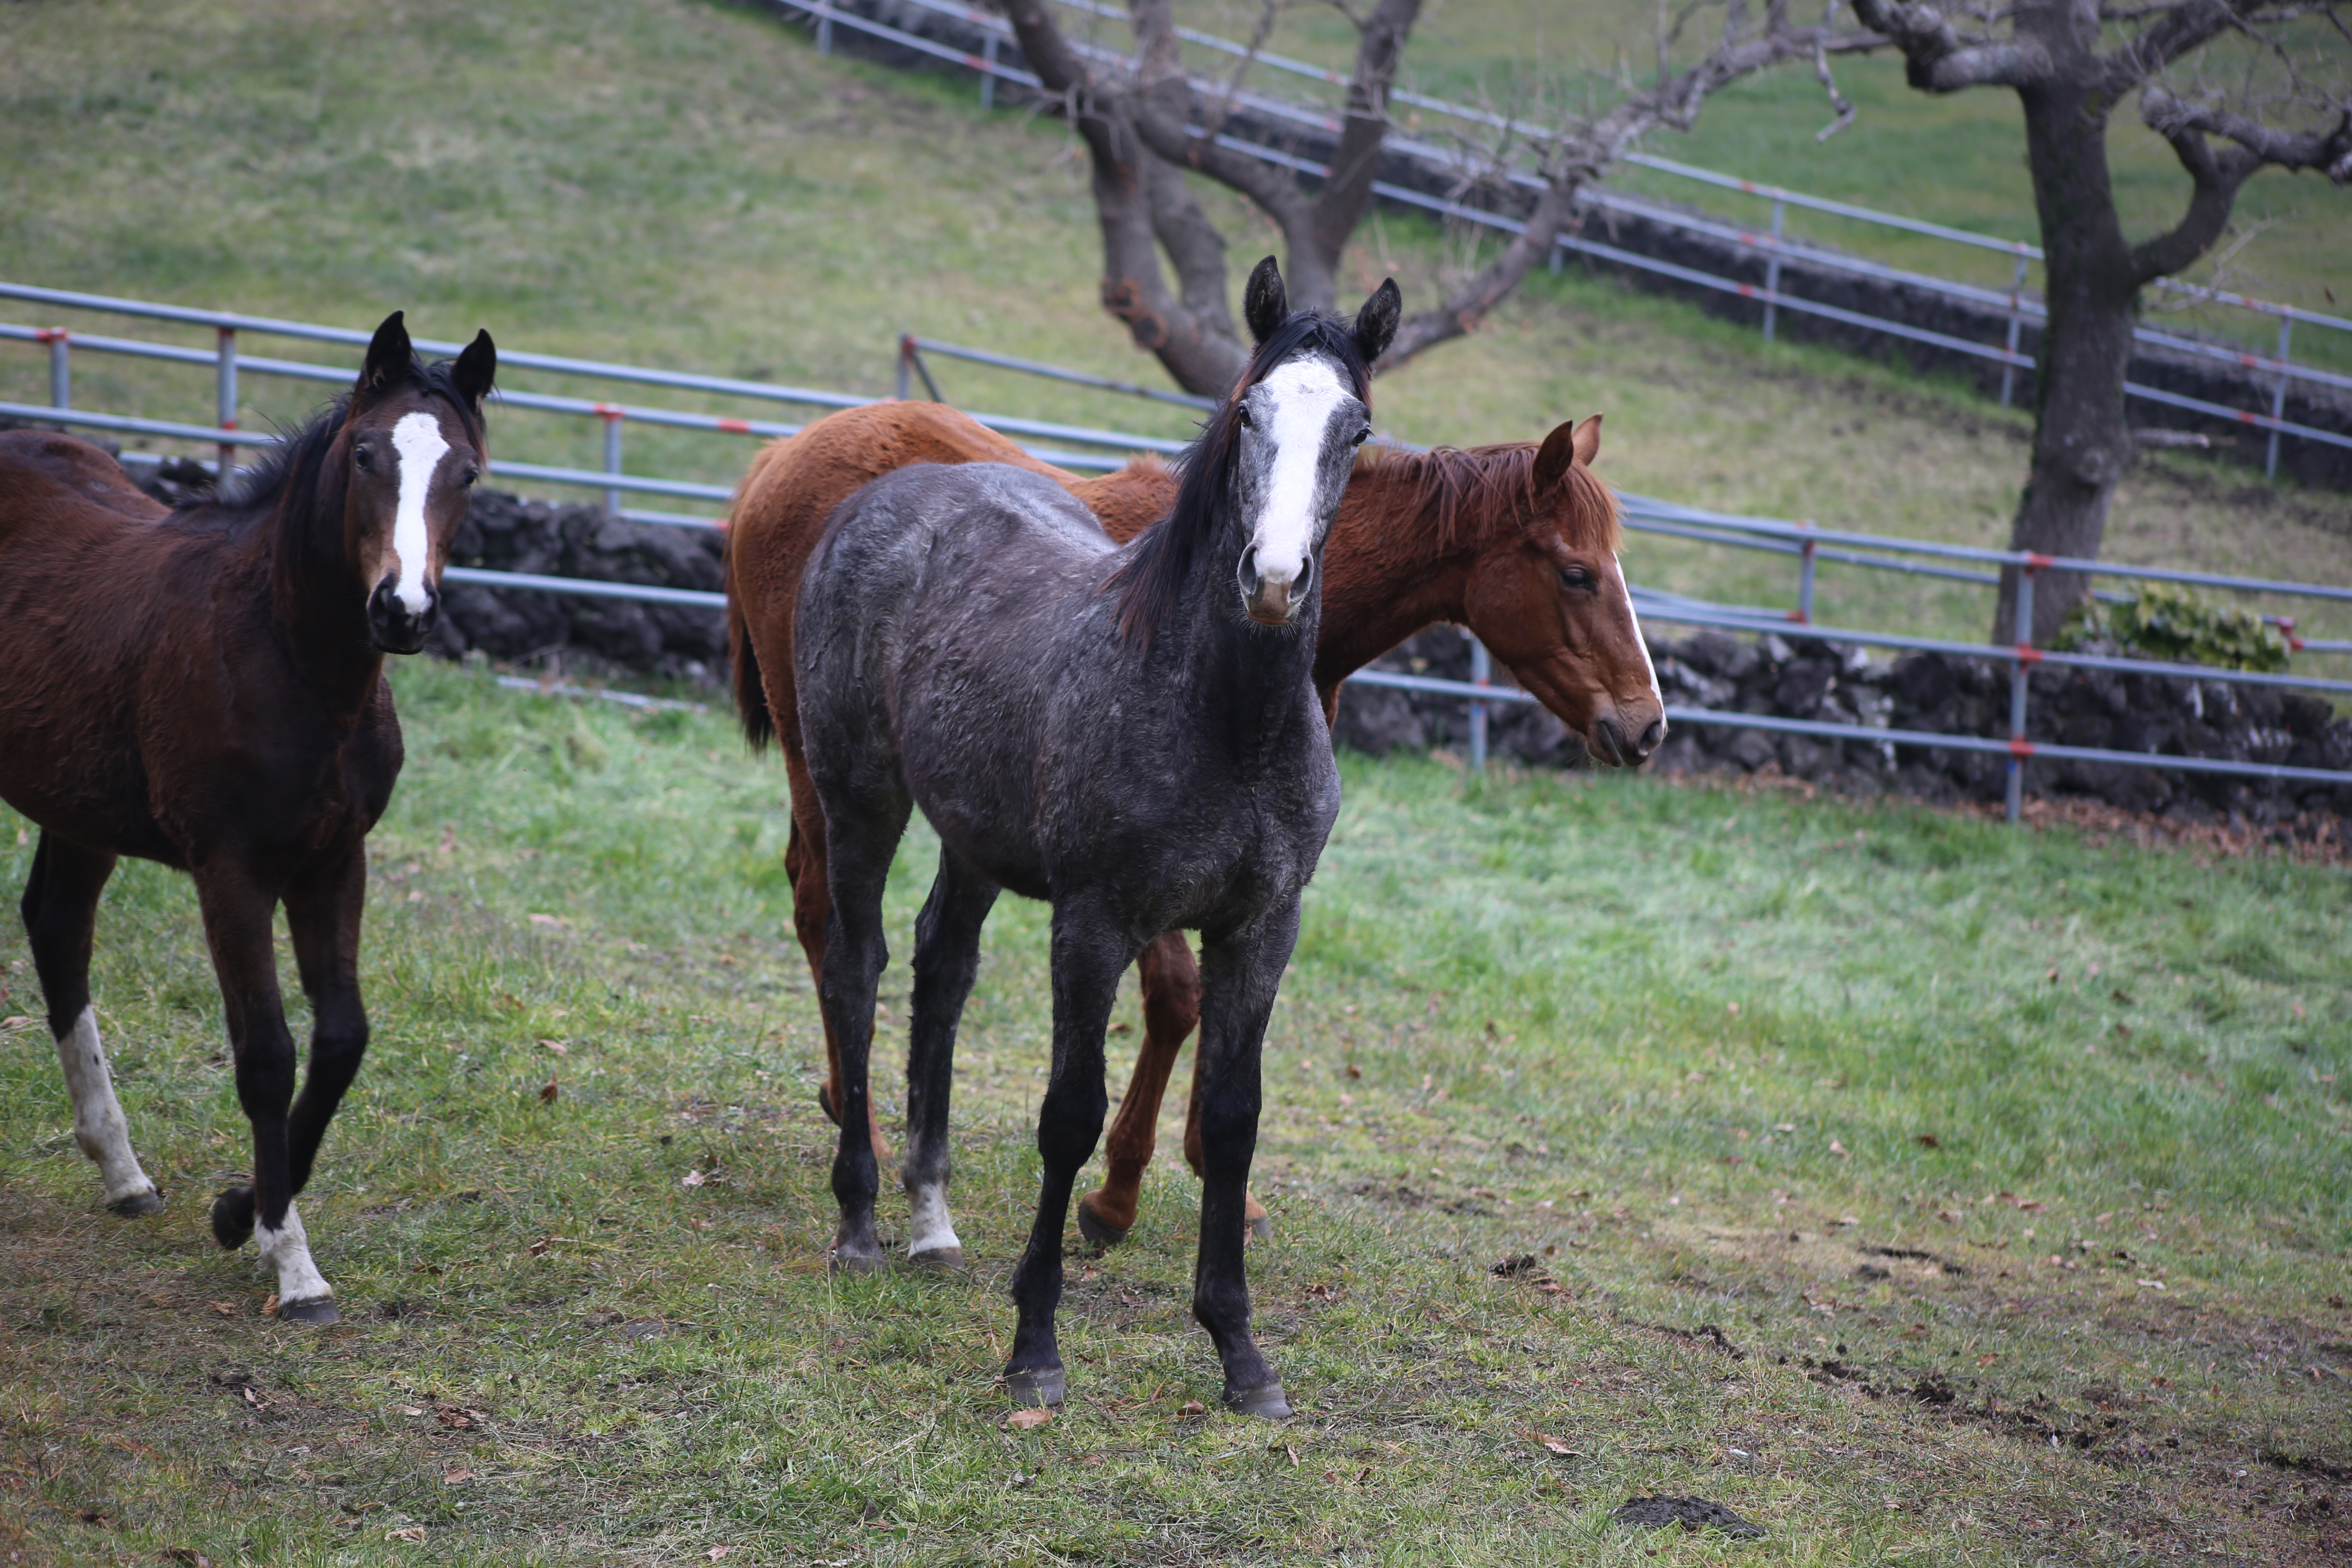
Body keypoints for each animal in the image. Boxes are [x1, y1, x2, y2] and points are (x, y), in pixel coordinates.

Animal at [1, 312, 491, 1316]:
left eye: (466, 472)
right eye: (366, 455)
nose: (403, 610)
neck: (290, 656)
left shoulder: (335, 860)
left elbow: (342, 1040)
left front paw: (239, 1212)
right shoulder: (231, 870)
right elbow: (266, 1054)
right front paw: (292, 1262)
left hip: (77, 804)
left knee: (58, 929)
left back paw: (124, 1174)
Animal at [724, 359, 1665, 1260]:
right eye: (1577, 573)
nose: (1647, 724)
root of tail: (776, 459)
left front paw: (1218, 1187)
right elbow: (1178, 998)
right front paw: (1118, 1193)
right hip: (825, 767)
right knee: (825, 916)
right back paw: (861, 1128)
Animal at [795, 257, 1392, 1410]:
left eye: (1357, 429)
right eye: (1246, 413)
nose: (1273, 579)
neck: (1226, 719)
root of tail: (885, 498)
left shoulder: (1262, 928)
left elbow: (1233, 1120)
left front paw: (1240, 1353)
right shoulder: (1095, 921)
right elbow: (1069, 1113)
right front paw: (1035, 1345)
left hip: (973, 837)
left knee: (942, 969)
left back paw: (932, 1223)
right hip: (860, 800)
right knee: (858, 967)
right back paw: (859, 1221)